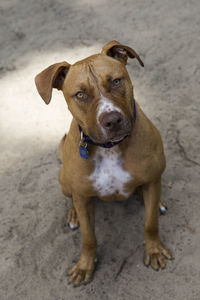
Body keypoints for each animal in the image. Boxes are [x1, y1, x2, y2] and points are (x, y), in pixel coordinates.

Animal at [34, 39, 172, 286]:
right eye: (80, 94)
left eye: (116, 81)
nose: (112, 120)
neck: (111, 147)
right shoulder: (81, 195)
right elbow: (88, 237)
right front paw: (85, 265)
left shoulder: (152, 180)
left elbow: (150, 223)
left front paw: (154, 250)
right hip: (64, 180)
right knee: (72, 199)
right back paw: (73, 215)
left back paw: (158, 203)